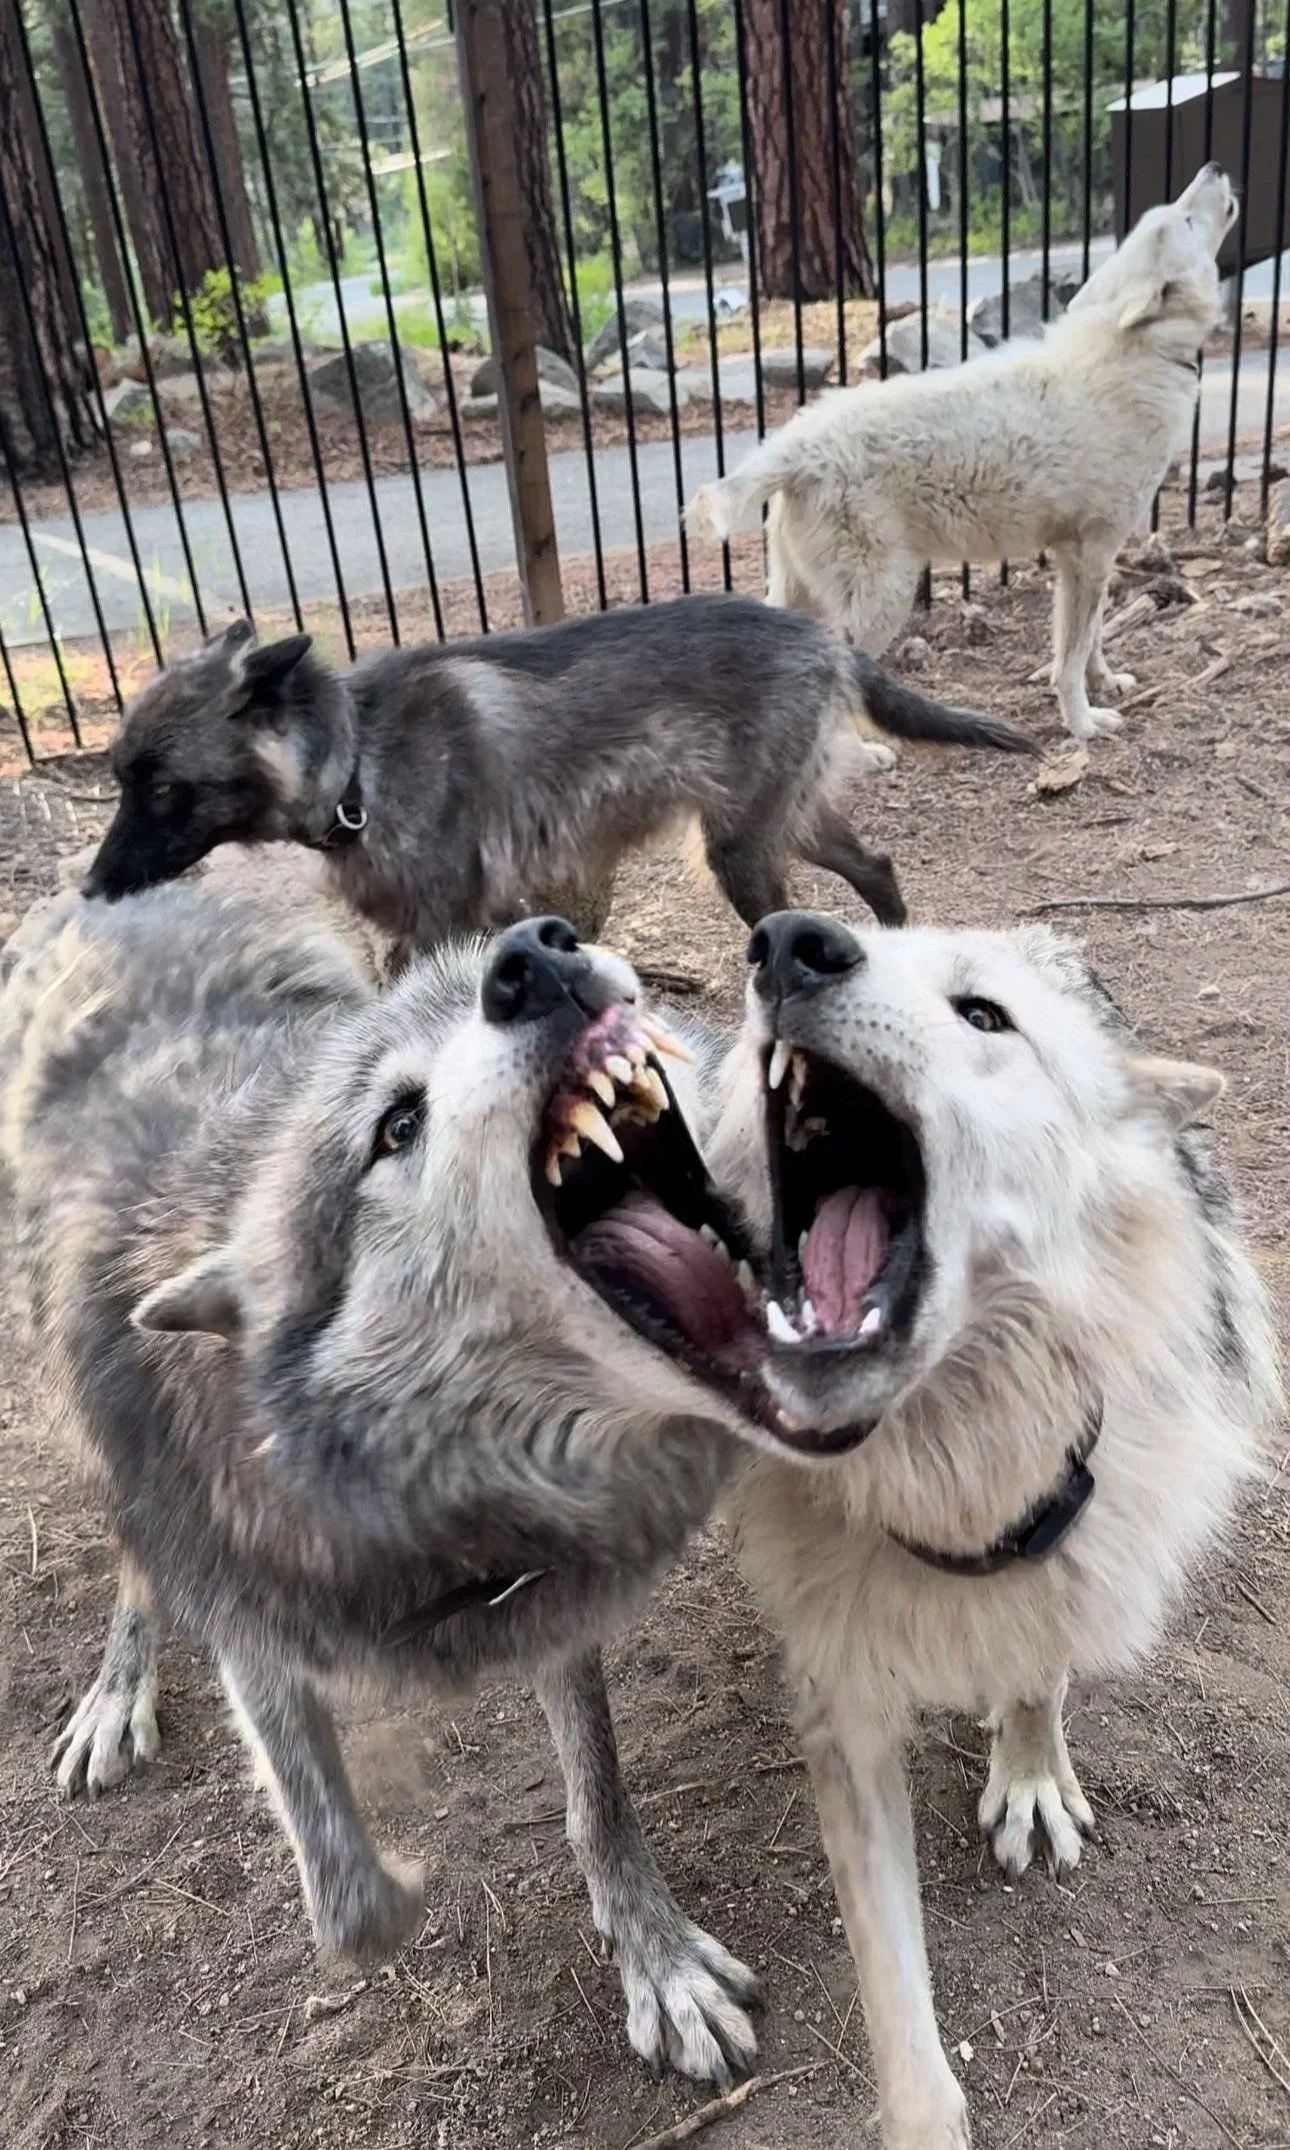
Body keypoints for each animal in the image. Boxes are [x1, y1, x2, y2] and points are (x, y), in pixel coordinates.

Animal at [0, 884, 857, 2085]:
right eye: (394, 1125)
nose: (534, 956)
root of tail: (105, 889)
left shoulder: (549, 1600)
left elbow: (598, 1798)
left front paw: (658, 1961)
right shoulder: (253, 1623)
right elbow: (350, 1901)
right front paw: (398, 1876)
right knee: (133, 1546)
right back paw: (117, 1692)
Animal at [80, 595, 1033, 941]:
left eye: (163, 791)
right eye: (120, 780)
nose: (88, 891)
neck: (358, 764)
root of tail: (820, 633)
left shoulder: (444, 928)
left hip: (743, 854)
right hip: (777, 830)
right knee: (879, 865)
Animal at [687, 165, 1238, 743]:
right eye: (1185, 218)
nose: (1214, 168)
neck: (1142, 350)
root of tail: (796, 445)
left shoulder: (1085, 560)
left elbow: (1090, 642)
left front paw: (1107, 684)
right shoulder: (1089, 555)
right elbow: (1069, 658)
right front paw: (1084, 725)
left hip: (801, 592)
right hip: (883, 598)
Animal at [703, 908, 1280, 2146]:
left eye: (983, 1015)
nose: (791, 940)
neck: (949, 1474)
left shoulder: (1065, 1545)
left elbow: (1038, 1663)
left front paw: (1029, 1771)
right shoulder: (843, 1710)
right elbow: (896, 1997)